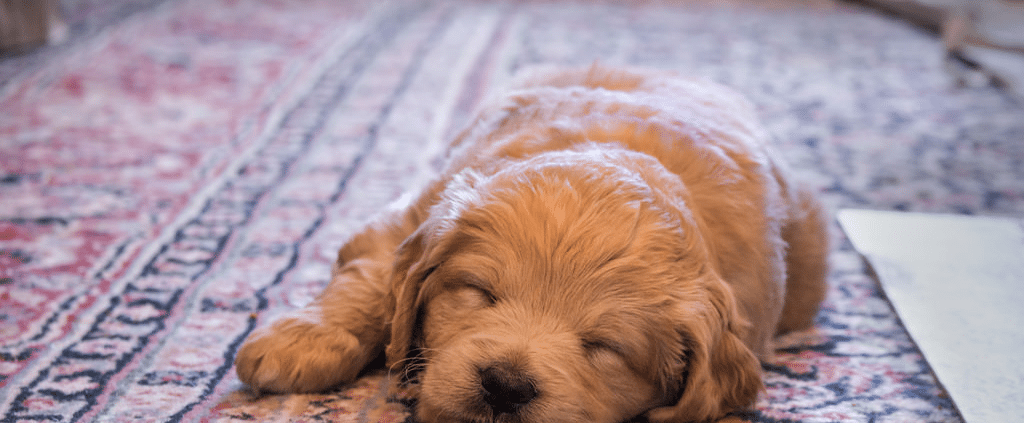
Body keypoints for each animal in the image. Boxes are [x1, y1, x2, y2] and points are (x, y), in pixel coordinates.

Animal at [235, 64, 827, 419]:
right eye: (479, 293)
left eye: (604, 346)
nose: (504, 385)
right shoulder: (411, 215)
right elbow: (372, 281)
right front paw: (301, 340)